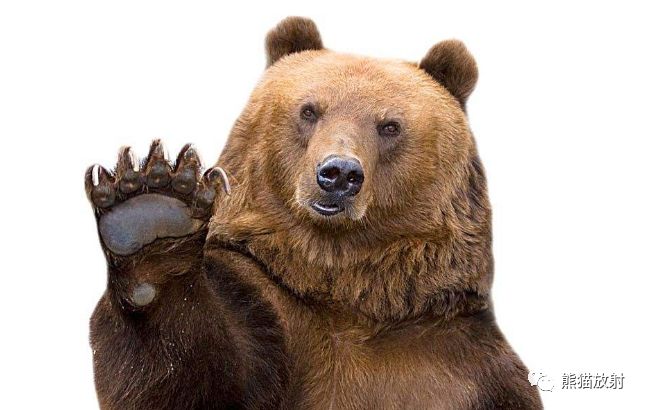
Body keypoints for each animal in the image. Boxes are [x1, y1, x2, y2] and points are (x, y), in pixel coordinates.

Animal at [85, 16, 542, 409]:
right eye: (309, 110)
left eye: (390, 125)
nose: (338, 174)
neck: (347, 290)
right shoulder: (268, 311)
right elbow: (189, 373)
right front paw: (150, 211)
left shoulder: (468, 361)